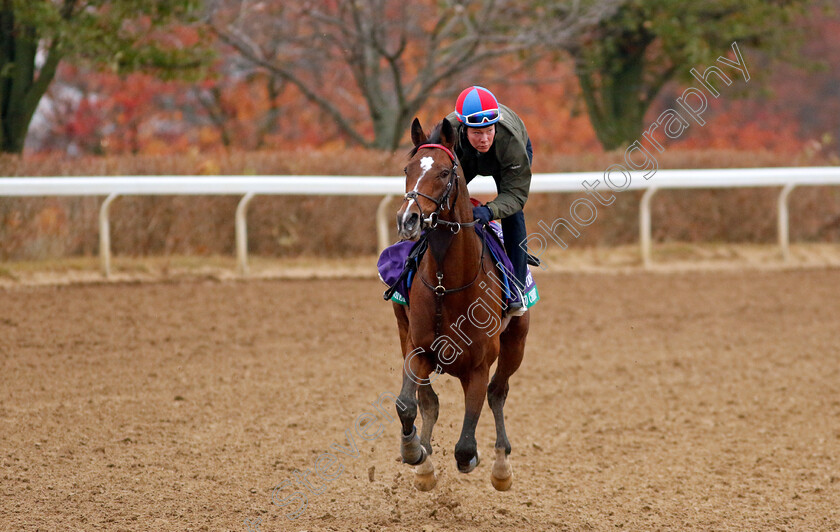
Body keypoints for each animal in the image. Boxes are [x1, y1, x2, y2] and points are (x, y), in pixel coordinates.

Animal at [390, 116, 528, 490]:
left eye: (442, 172)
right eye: (407, 169)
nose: (407, 219)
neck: (446, 285)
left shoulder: (478, 365)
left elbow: (466, 447)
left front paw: (486, 462)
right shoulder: (418, 348)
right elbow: (407, 404)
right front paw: (415, 453)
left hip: (517, 342)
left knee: (499, 391)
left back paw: (502, 465)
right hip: (402, 328)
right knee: (428, 401)